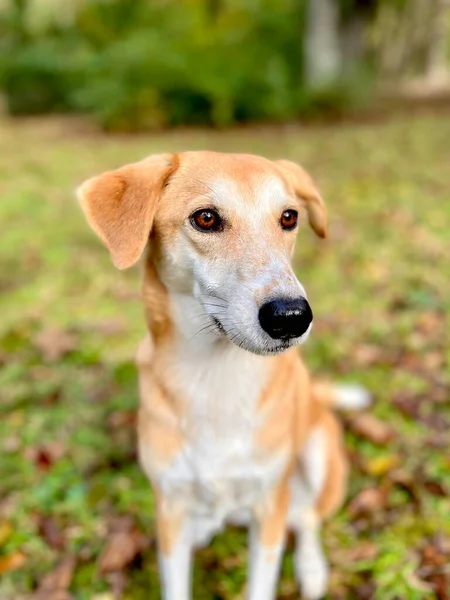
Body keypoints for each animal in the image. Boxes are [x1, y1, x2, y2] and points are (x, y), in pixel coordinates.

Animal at [77, 154, 370, 600]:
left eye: (289, 217)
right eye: (206, 218)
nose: (291, 316)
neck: (216, 378)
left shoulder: (269, 508)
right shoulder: (170, 512)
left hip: (320, 457)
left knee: (306, 518)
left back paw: (312, 568)